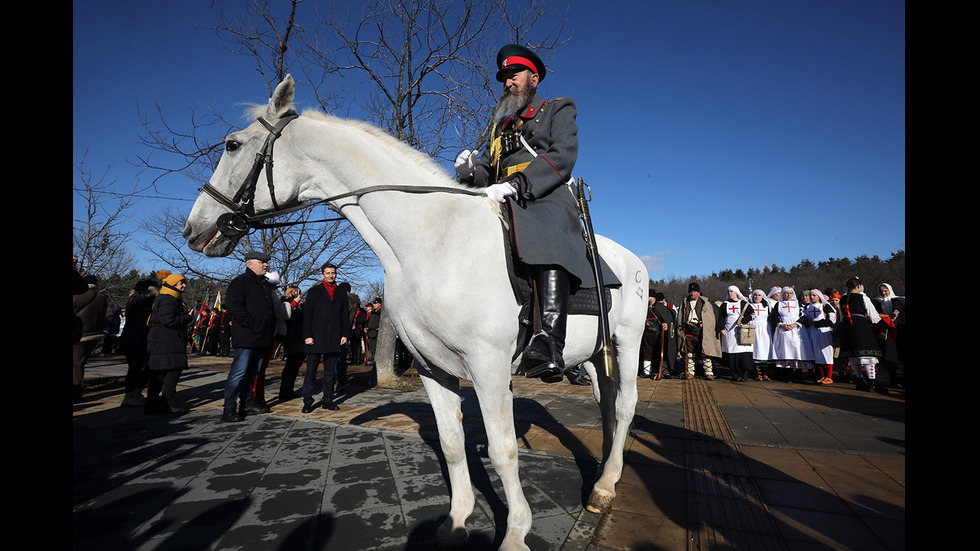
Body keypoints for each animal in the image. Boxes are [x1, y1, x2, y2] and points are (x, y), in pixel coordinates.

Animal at [185, 76, 652, 551]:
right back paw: (604, 472)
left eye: (232, 144)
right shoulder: (432, 367)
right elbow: (451, 444)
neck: (432, 239)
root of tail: (631, 258)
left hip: (627, 343)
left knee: (625, 404)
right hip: (593, 355)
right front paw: (457, 522)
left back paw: (605, 485)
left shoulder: (488, 367)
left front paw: (516, 533)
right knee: (606, 404)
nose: (194, 229)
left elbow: (503, 451)